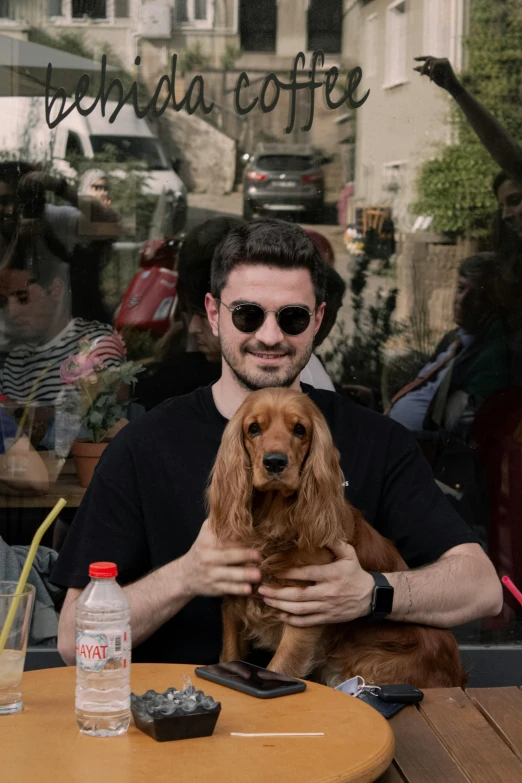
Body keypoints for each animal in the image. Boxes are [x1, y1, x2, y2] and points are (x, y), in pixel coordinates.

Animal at [205, 388, 462, 688]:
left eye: (300, 430)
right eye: (254, 429)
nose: (275, 462)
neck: (274, 522)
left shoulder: (303, 613)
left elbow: (279, 666)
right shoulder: (234, 604)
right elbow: (230, 656)